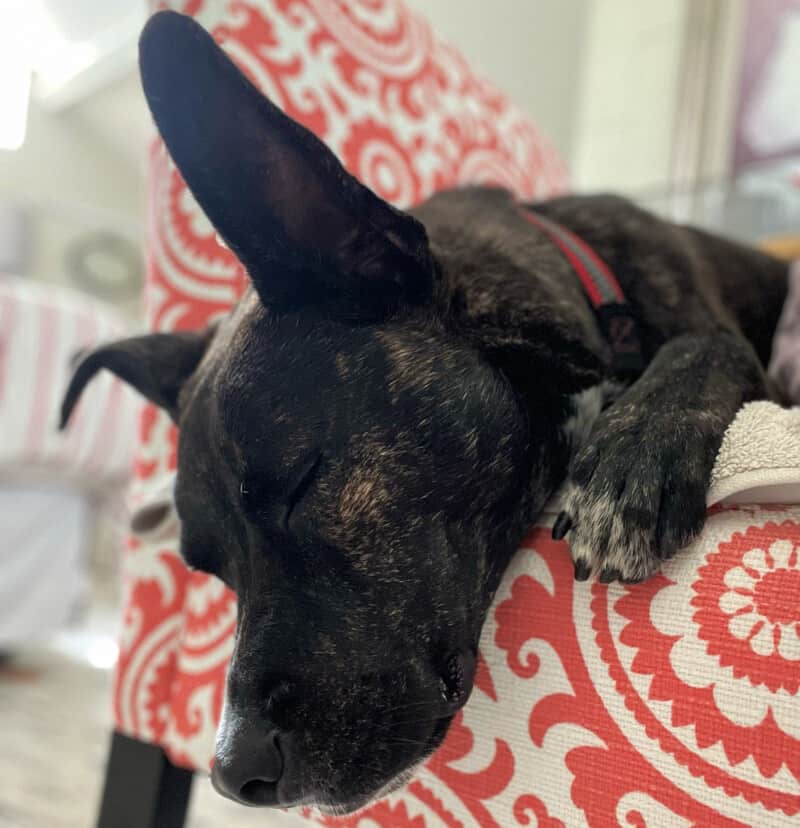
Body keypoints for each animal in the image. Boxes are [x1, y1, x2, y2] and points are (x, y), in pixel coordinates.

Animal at [61, 9, 788, 820]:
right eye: (210, 569)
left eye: (303, 483)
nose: (232, 774)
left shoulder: (724, 338)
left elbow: (709, 344)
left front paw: (636, 455)